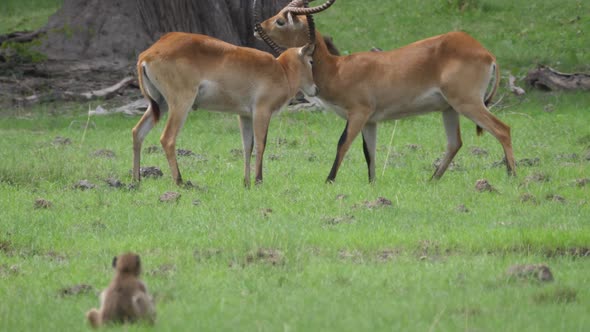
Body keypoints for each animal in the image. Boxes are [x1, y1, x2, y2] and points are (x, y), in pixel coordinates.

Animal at [133, 14, 320, 187]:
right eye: (311, 61)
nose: (315, 89)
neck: (282, 71)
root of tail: (147, 55)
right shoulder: (262, 111)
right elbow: (261, 143)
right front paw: (258, 181)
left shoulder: (245, 115)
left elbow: (247, 145)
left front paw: (246, 183)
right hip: (181, 103)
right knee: (167, 138)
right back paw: (180, 182)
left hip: (161, 104)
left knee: (137, 132)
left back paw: (136, 181)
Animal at [260, 0, 520, 183]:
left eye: (281, 20)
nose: (258, 26)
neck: (337, 69)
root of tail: (484, 51)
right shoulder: (370, 121)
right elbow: (369, 152)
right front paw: (372, 183)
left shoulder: (359, 113)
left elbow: (342, 143)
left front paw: (329, 180)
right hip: (449, 108)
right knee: (455, 142)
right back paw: (432, 180)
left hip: (467, 103)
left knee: (502, 129)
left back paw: (512, 176)